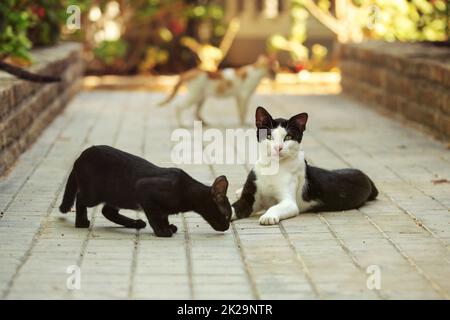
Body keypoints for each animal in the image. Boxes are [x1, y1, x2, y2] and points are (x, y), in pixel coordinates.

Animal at [59, 146, 232, 236]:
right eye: (227, 215)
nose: (227, 227)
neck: (186, 191)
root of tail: (80, 157)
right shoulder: (144, 191)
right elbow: (155, 216)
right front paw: (162, 231)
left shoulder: (161, 208)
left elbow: (163, 216)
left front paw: (168, 226)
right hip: (94, 194)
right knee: (80, 198)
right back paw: (81, 222)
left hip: (118, 195)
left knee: (107, 211)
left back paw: (135, 223)